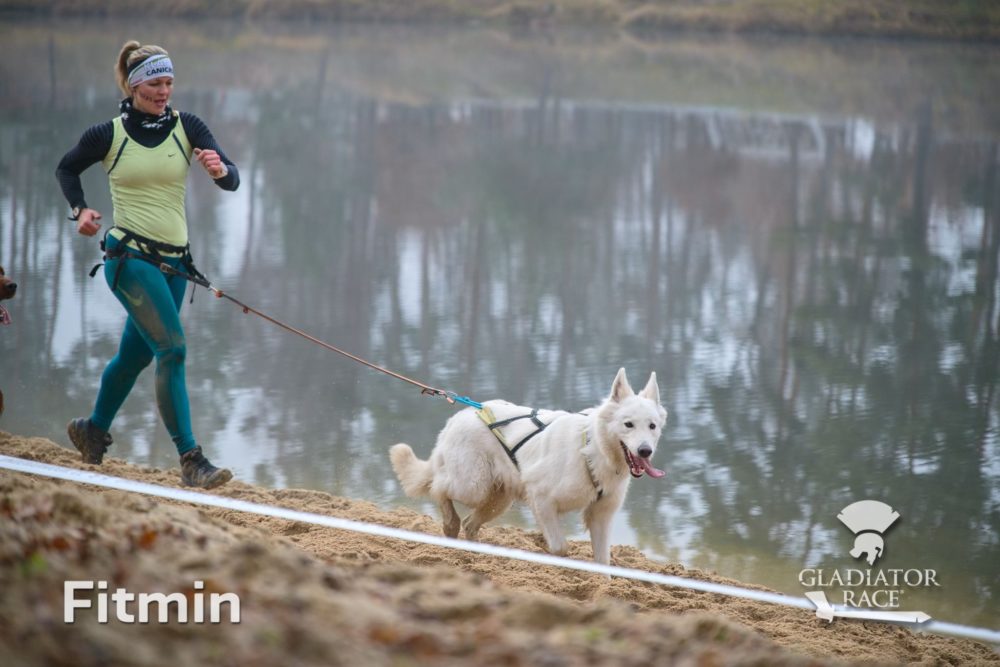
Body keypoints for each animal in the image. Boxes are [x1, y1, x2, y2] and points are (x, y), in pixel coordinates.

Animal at [388, 368, 664, 568]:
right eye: (628, 424)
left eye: (652, 426)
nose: (645, 451)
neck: (590, 447)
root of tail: (462, 414)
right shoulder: (542, 499)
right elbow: (560, 547)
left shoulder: (601, 514)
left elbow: (603, 562)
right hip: (473, 486)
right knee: (439, 487)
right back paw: (449, 523)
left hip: (498, 499)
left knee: (469, 522)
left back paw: (474, 552)